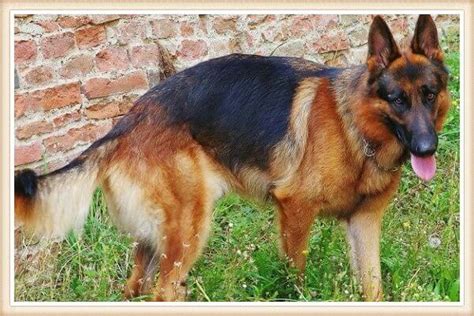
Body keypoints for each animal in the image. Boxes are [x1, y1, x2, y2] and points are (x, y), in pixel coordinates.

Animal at [14, 15, 450, 302]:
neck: (357, 129)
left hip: (158, 239)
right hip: (189, 227)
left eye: (429, 95)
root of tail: (126, 124)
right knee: (164, 292)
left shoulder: (364, 224)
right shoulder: (294, 210)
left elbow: (373, 288)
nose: (427, 149)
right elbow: (296, 278)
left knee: (136, 286)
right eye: (397, 100)